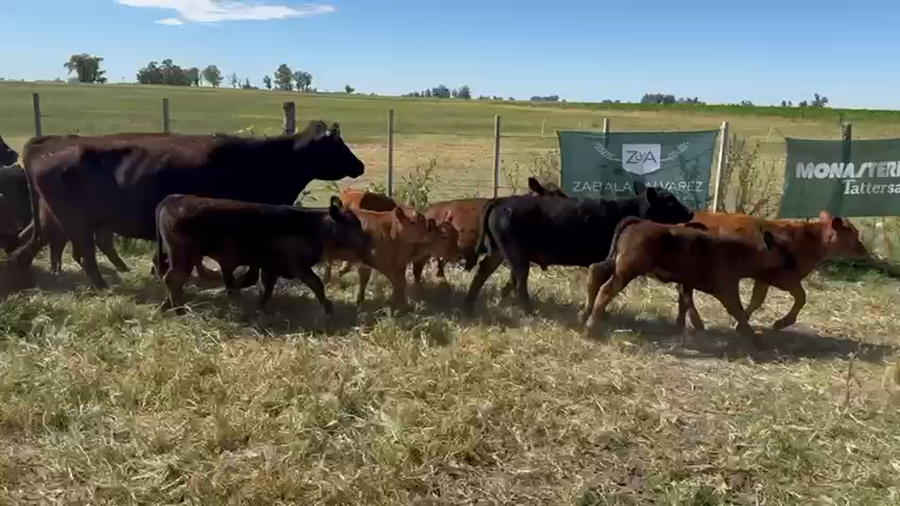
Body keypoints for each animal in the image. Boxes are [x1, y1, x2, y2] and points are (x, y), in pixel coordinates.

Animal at [10, 120, 364, 290]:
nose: (359, 165)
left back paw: (25, 279)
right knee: (81, 253)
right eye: (338, 145)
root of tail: (46, 143)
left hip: (54, 219)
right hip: (74, 221)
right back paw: (102, 286)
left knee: (30, 244)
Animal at [155, 194, 373, 315]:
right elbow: (317, 284)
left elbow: (264, 290)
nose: (368, 240)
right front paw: (328, 309)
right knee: (173, 280)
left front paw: (260, 311)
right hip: (183, 256)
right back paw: (179, 310)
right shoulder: (298, 266)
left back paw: (166, 307)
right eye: (352, 224)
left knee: (173, 281)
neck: (313, 226)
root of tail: (172, 199)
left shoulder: (270, 268)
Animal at [463, 187, 694, 313]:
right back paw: (527, 309)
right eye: (670, 201)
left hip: (499, 252)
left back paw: (471, 302)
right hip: (515, 255)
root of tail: (501, 201)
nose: (691, 212)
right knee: (519, 280)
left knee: (485, 272)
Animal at [581, 216, 797, 349]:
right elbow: (739, 312)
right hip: (627, 271)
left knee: (595, 272)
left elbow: (685, 301)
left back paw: (584, 315)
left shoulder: (687, 282)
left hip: (616, 265)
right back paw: (592, 327)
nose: (794, 268)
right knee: (607, 289)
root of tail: (639, 221)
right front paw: (754, 339)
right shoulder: (727, 290)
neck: (742, 252)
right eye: (784, 256)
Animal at [676, 210, 868, 331]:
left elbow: (757, 299)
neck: (807, 240)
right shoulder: (784, 279)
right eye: (854, 234)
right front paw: (781, 323)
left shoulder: (763, 279)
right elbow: (801, 297)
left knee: (684, 291)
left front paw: (740, 323)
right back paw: (696, 323)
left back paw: (682, 322)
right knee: (686, 292)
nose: (863, 250)